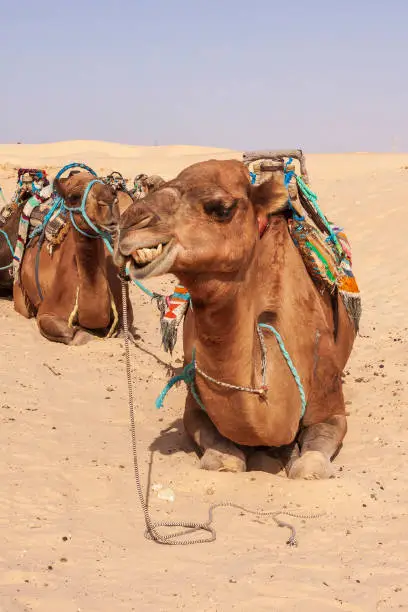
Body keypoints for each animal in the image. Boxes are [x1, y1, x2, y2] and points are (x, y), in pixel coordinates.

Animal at [13, 171, 132, 344]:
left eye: (111, 189)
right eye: (74, 196)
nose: (109, 200)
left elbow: (124, 331)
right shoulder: (47, 312)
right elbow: (76, 335)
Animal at [116, 158, 358, 478]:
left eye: (221, 208)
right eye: (158, 186)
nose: (129, 223)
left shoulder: (331, 407)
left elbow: (309, 466)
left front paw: (294, 455)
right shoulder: (195, 409)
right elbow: (225, 460)